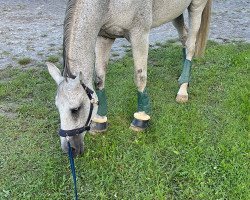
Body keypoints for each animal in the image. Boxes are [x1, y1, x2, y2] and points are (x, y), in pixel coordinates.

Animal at [46, 0, 211, 155]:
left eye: (76, 109)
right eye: (57, 107)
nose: (69, 149)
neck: (109, 4)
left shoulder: (140, 35)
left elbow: (140, 77)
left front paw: (141, 118)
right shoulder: (104, 36)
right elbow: (99, 78)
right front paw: (100, 119)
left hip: (196, 7)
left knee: (190, 45)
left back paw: (183, 90)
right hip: (176, 13)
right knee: (184, 37)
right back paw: (184, 79)